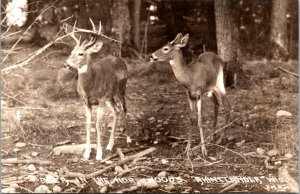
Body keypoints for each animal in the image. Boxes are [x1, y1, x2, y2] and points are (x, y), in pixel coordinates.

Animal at [65, 20, 131, 161]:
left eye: (81, 53)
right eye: (72, 51)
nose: (66, 64)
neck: (90, 87)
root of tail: (119, 58)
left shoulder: (100, 100)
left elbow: (97, 125)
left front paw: (99, 154)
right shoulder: (86, 102)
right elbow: (88, 124)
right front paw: (86, 153)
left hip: (121, 88)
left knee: (124, 109)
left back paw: (128, 139)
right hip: (109, 97)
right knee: (116, 111)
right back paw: (110, 145)